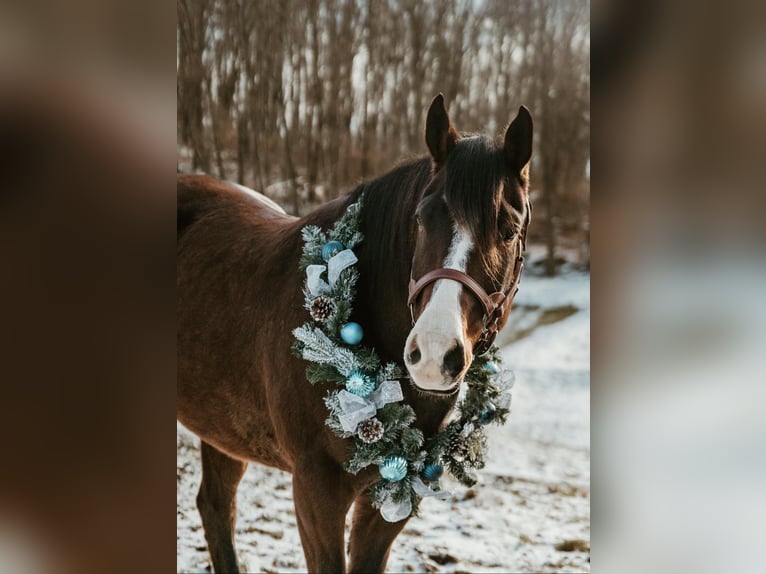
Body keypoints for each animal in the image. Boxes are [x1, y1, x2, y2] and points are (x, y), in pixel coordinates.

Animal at [176, 93, 536, 572]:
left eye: (509, 229)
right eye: (422, 217)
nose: (434, 355)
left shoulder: (392, 496)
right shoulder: (316, 490)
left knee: (216, 507)